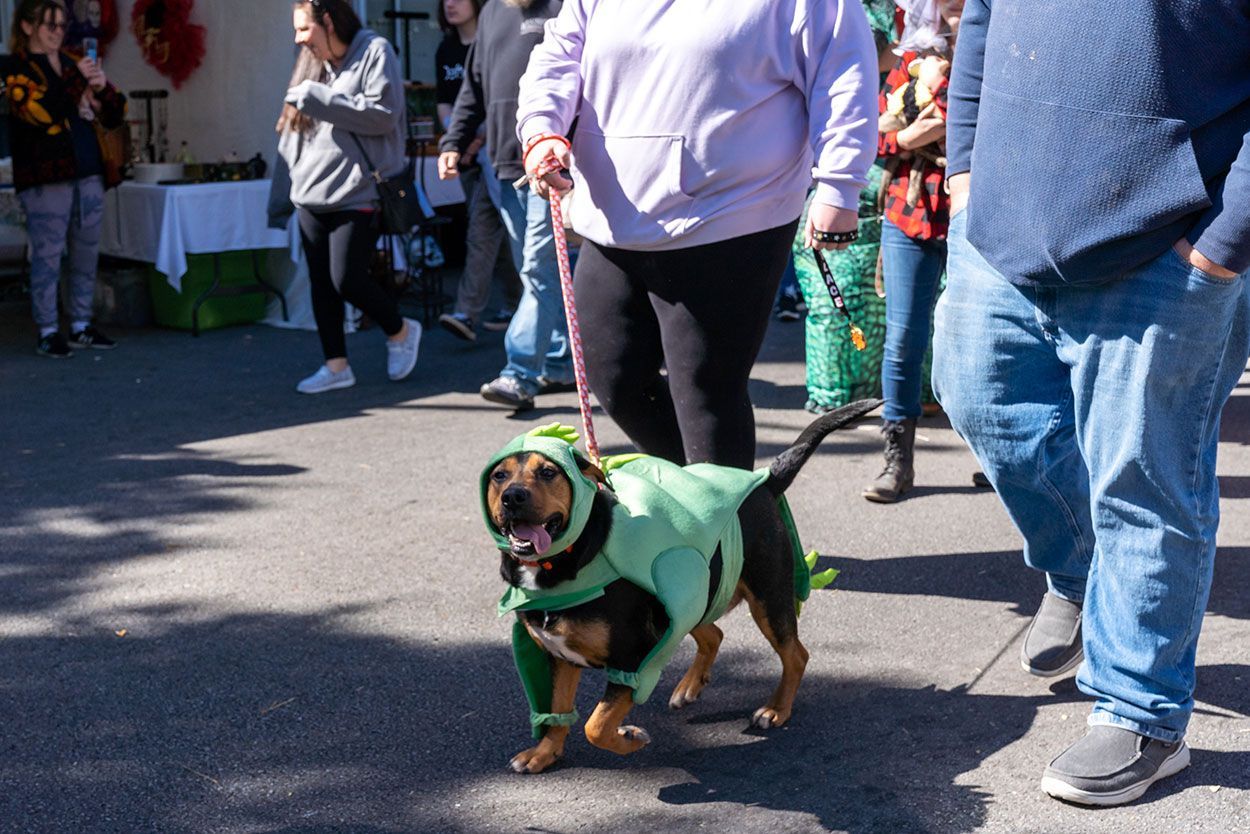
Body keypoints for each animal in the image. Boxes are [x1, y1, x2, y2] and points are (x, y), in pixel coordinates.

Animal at [477, 400, 880, 775]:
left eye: (548, 472)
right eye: (499, 476)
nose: (513, 496)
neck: (568, 559)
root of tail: (764, 477)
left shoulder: (633, 656)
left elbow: (597, 725)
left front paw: (628, 738)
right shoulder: (558, 656)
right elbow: (558, 712)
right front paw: (544, 753)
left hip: (768, 598)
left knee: (796, 654)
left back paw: (776, 709)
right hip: (689, 596)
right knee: (714, 633)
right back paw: (690, 686)